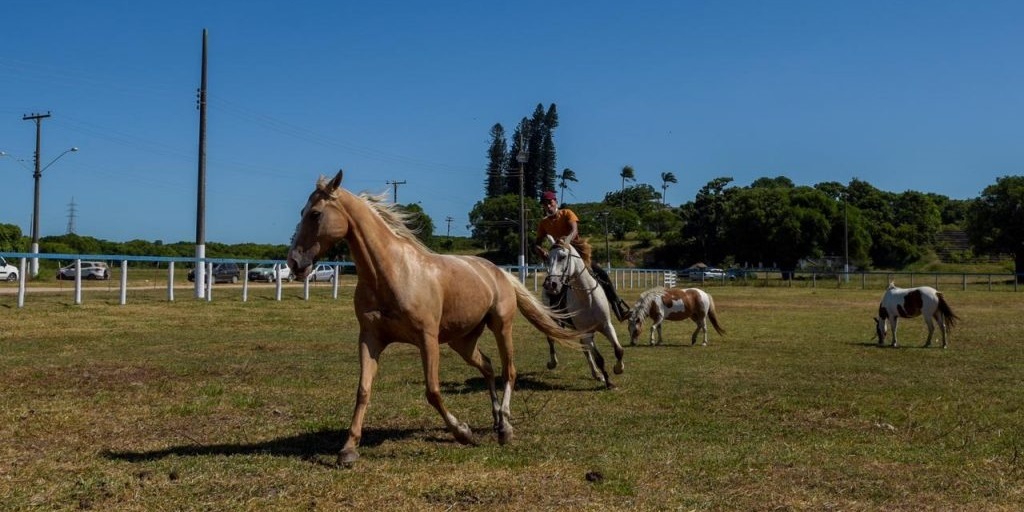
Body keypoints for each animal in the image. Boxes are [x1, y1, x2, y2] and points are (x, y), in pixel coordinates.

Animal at [286, 169, 585, 466]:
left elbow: (433, 391)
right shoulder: (370, 339)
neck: (391, 273)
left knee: (508, 371)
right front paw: (348, 449)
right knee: (488, 366)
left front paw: (463, 432)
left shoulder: (427, 339)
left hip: (502, 327)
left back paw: (505, 428)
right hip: (462, 341)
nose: (294, 263)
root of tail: (500, 272)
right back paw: (496, 419)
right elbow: (363, 390)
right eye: (302, 211)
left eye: (315, 214)